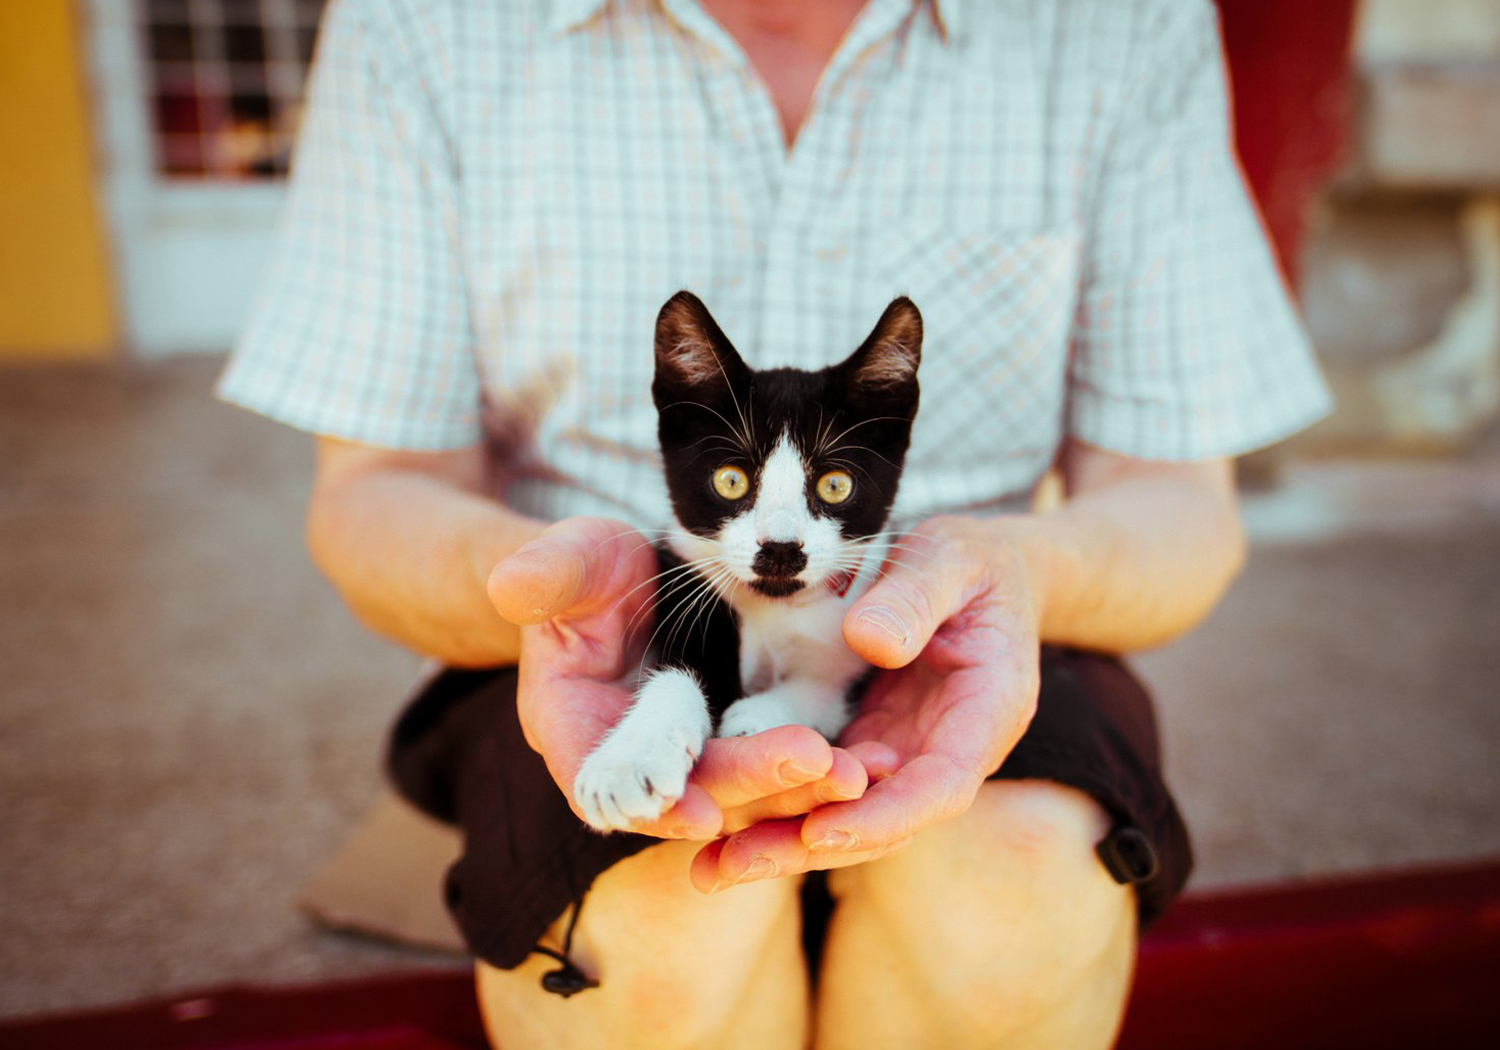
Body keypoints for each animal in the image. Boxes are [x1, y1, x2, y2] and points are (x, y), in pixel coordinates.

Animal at [573, 291, 918, 834]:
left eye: (835, 485)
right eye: (730, 480)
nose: (780, 547)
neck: (774, 606)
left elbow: (826, 684)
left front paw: (760, 715)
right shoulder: (683, 578)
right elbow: (677, 672)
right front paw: (628, 761)